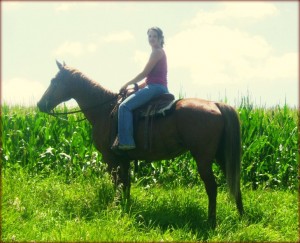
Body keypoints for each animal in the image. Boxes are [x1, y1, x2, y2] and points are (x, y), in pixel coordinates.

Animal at [37, 60, 244, 228]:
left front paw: (115, 208)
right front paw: (125, 207)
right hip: (221, 156)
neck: (104, 110)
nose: (40, 104)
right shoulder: (124, 159)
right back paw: (242, 217)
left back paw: (211, 222)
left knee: (212, 187)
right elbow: (125, 185)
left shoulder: (110, 159)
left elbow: (117, 184)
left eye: (54, 80)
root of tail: (215, 104)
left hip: (203, 158)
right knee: (234, 182)